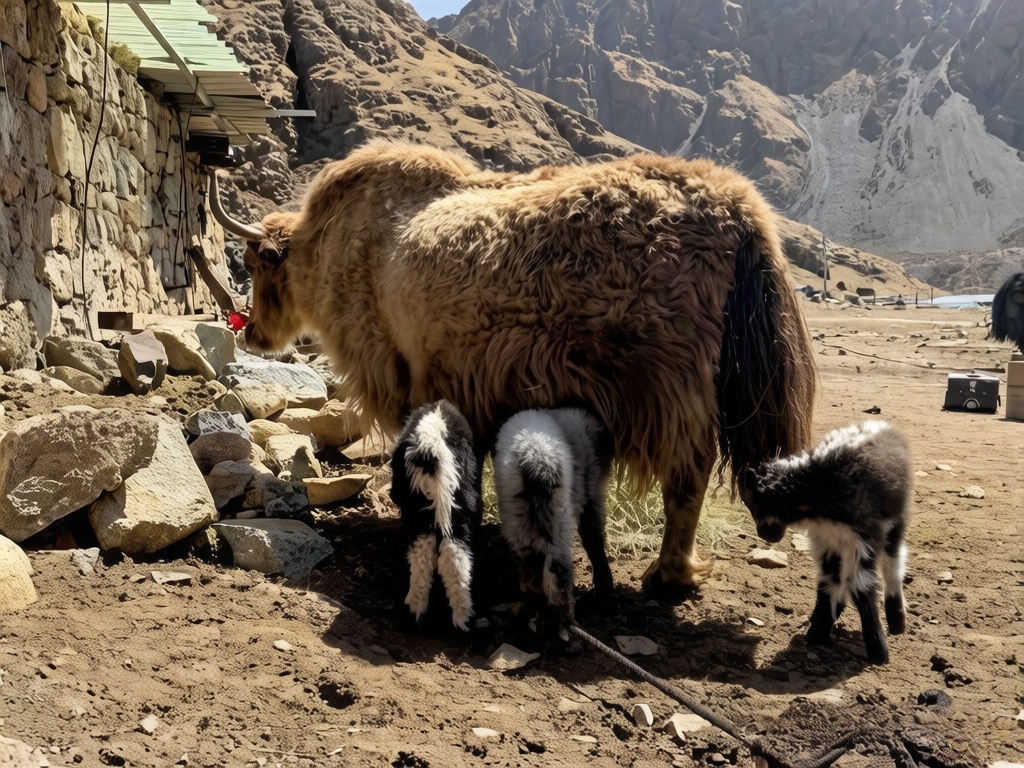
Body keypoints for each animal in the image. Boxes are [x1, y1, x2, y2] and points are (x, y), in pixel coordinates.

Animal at [209, 140, 818, 595]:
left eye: (257, 266)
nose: (253, 333)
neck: (335, 244)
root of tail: (736, 208)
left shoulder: (407, 370)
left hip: (669, 384)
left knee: (687, 475)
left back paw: (668, 576)